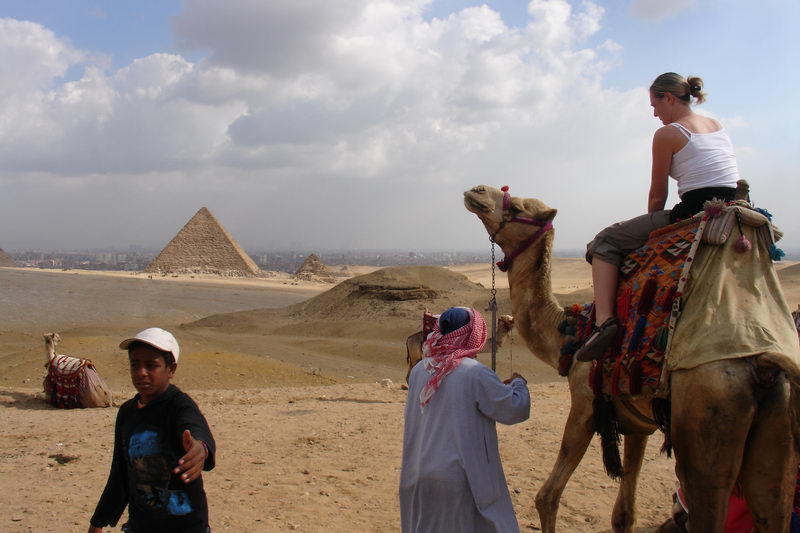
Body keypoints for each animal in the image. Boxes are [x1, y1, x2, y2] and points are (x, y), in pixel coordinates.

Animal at [462, 186, 800, 532]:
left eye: (517, 207)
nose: (477, 191)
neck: (569, 334)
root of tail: (765, 362)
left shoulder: (585, 404)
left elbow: (547, 496)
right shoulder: (639, 425)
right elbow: (624, 514)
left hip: (709, 423)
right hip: (777, 446)